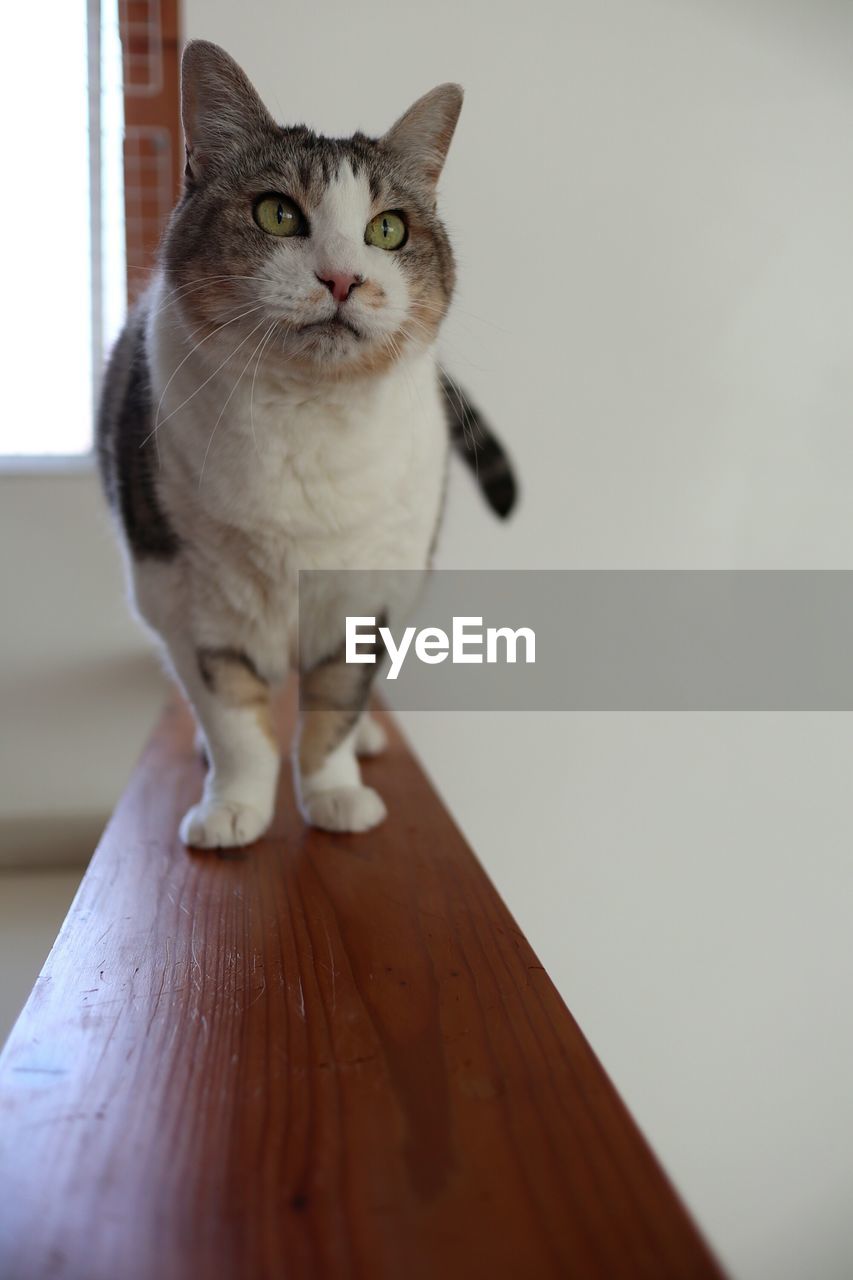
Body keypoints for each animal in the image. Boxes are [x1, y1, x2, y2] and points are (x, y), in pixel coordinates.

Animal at [98, 40, 512, 844]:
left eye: (388, 229)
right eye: (277, 213)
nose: (342, 278)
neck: (307, 420)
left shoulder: (368, 599)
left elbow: (335, 710)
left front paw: (336, 794)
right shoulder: (189, 603)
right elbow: (234, 719)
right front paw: (233, 807)